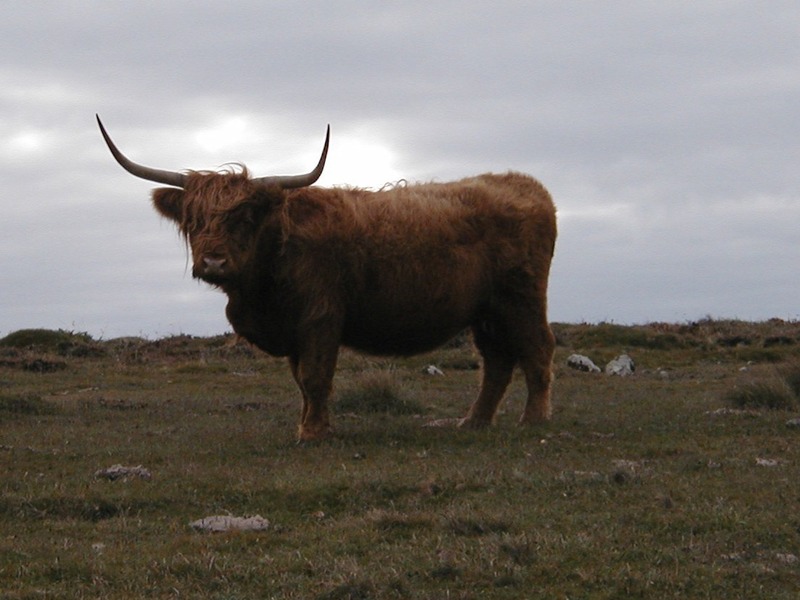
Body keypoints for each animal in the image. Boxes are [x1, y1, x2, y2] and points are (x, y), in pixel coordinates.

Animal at [96, 115, 557, 441]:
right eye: (193, 220)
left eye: (244, 217)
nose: (212, 262)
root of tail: (527, 186)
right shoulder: (293, 330)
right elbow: (302, 381)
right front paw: (309, 425)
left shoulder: (319, 319)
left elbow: (316, 377)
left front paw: (314, 433)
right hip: (487, 312)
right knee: (496, 362)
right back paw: (474, 422)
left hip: (521, 299)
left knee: (536, 350)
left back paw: (533, 420)